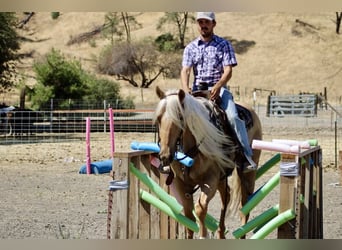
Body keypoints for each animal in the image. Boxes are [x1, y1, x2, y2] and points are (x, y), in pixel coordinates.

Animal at [154, 87, 264, 239]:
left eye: (180, 117)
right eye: (159, 118)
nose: (165, 155)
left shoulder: (210, 180)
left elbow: (200, 209)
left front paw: (203, 235)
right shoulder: (180, 183)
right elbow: (188, 216)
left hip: (248, 174)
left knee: (245, 204)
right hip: (222, 177)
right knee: (227, 196)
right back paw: (221, 233)